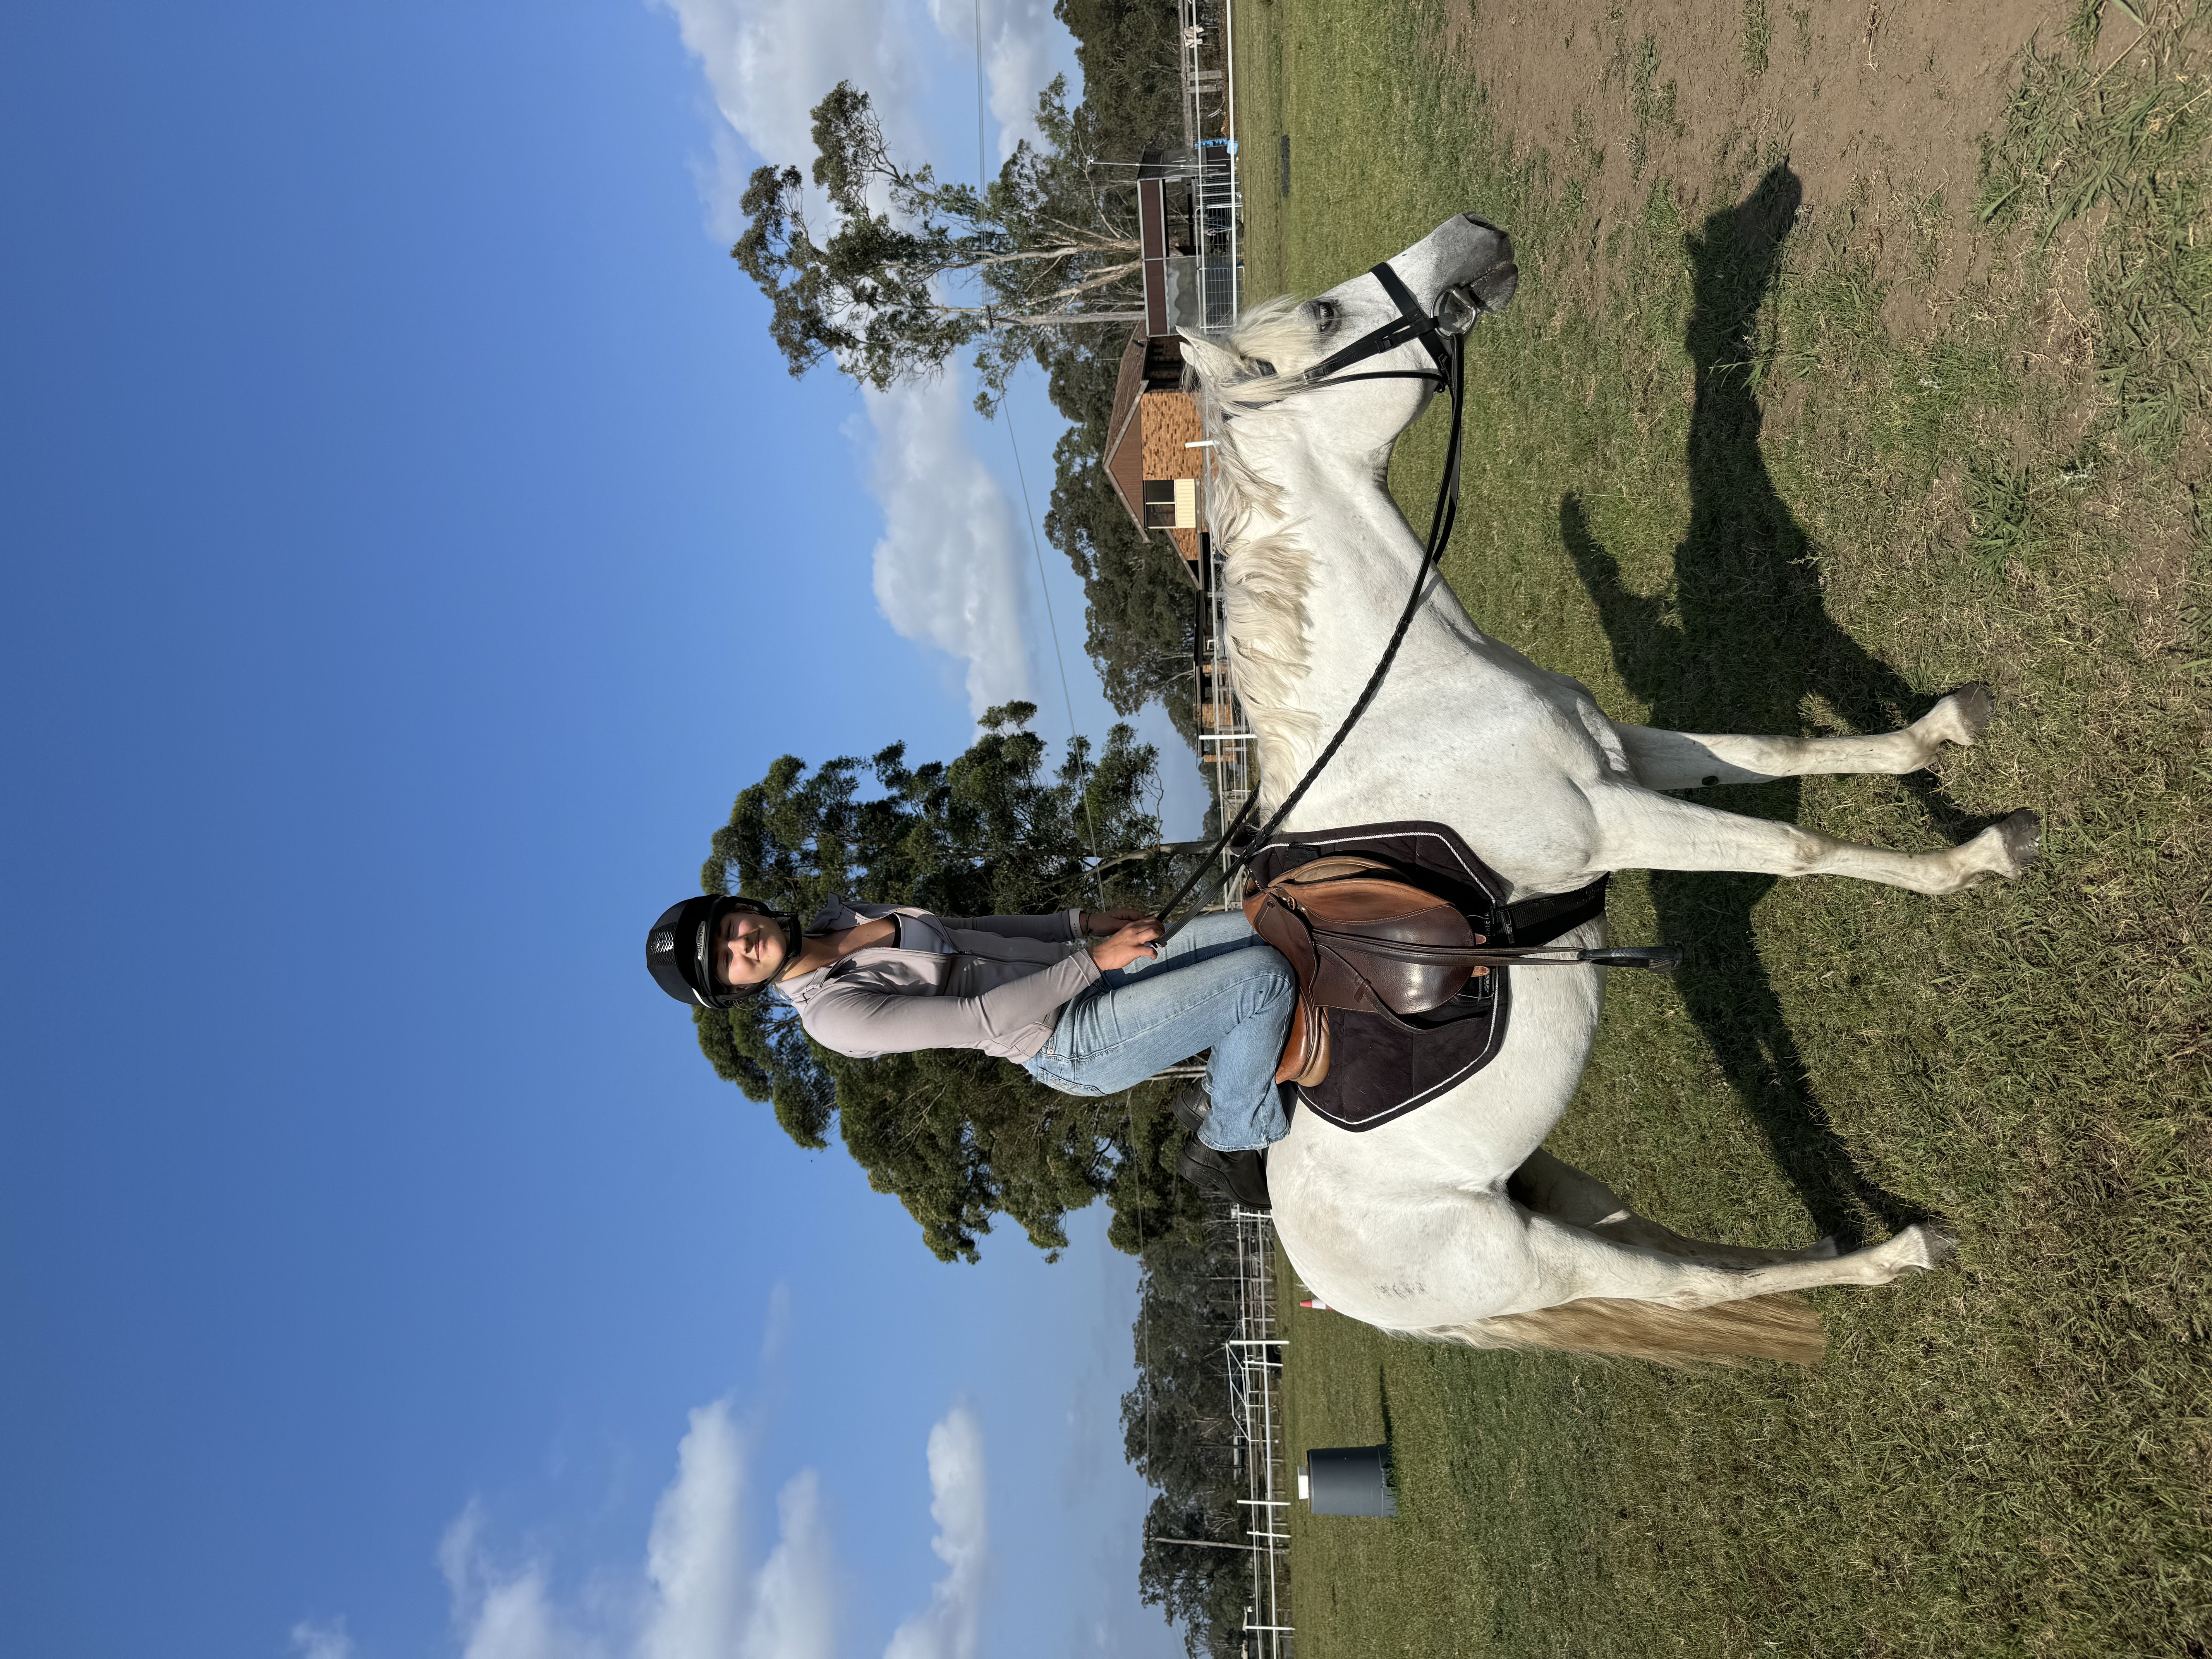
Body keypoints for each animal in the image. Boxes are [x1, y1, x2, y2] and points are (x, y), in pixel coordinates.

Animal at [1179, 214, 2040, 1364]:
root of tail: (1327, 1273)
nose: (1474, 232)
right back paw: (1897, 1251)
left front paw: (1939, 734)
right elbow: (1799, 850)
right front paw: (1977, 857)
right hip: (1539, 1258)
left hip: (1560, 1191)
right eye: (1323, 313)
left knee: (1689, 1259)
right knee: (1685, 1288)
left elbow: (1774, 751)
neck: (1422, 691)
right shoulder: (1612, 820)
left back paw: (1829, 1247)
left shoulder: (1629, 756)